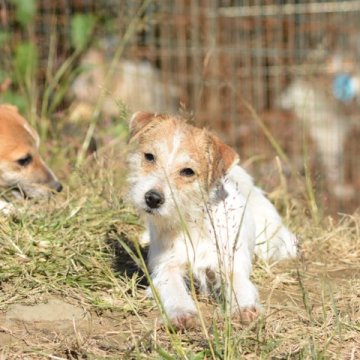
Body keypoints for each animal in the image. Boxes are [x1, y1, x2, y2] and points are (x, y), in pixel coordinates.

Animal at [128, 112, 296, 330]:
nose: (153, 199)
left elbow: (239, 286)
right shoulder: (166, 268)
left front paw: (245, 309)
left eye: (188, 171)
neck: (192, 221)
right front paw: (182, 312)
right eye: (149, 156)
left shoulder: (230, 265)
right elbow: (174, 290)